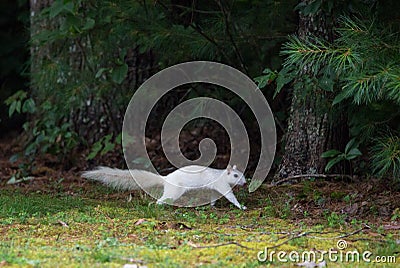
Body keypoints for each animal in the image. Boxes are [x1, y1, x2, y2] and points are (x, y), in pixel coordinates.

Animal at [81, 164, 247, 210]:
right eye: (235, 176)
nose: (245, 183)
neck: (221, 174)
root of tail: (166, 179)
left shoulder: (214, 188)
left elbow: (213, 197)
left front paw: (212, 205)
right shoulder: (221, 184)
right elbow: (230, 196)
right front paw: (241, 206)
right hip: (174, 191)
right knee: (160, 200)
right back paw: (158, 206)